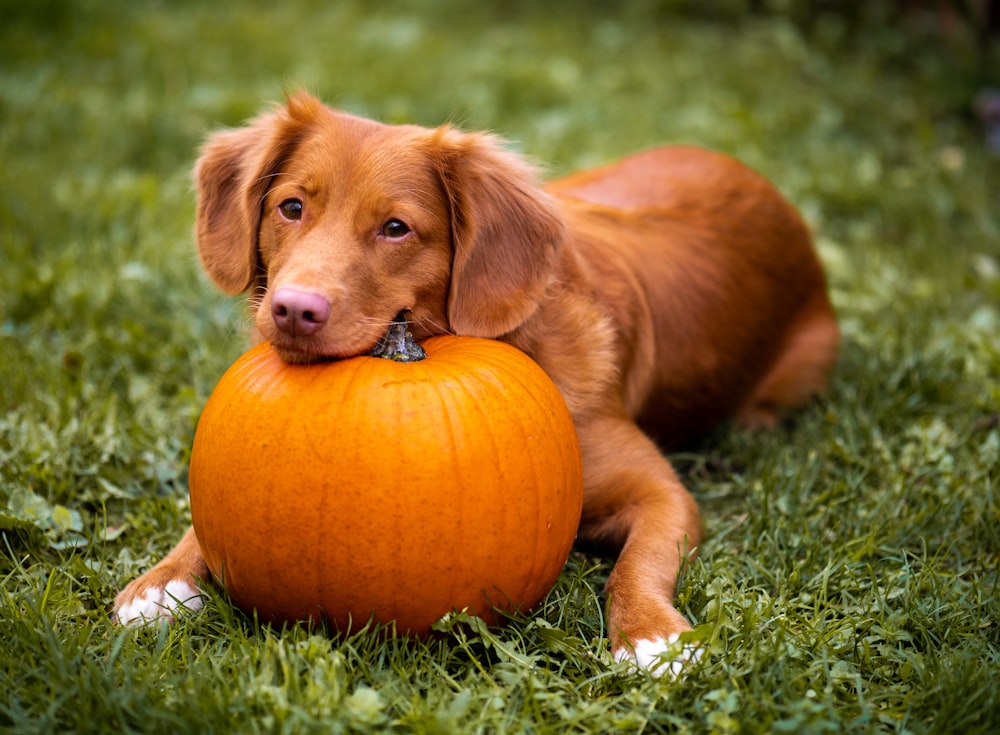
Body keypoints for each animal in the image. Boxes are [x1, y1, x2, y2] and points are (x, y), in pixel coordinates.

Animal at [115, 93, 836, 680]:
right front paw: (160, 582)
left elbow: (639, 563)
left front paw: (651, 635)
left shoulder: (663, 492)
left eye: (396, 228)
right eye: (290, 207)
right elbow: (202, 519)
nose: (293, 310)